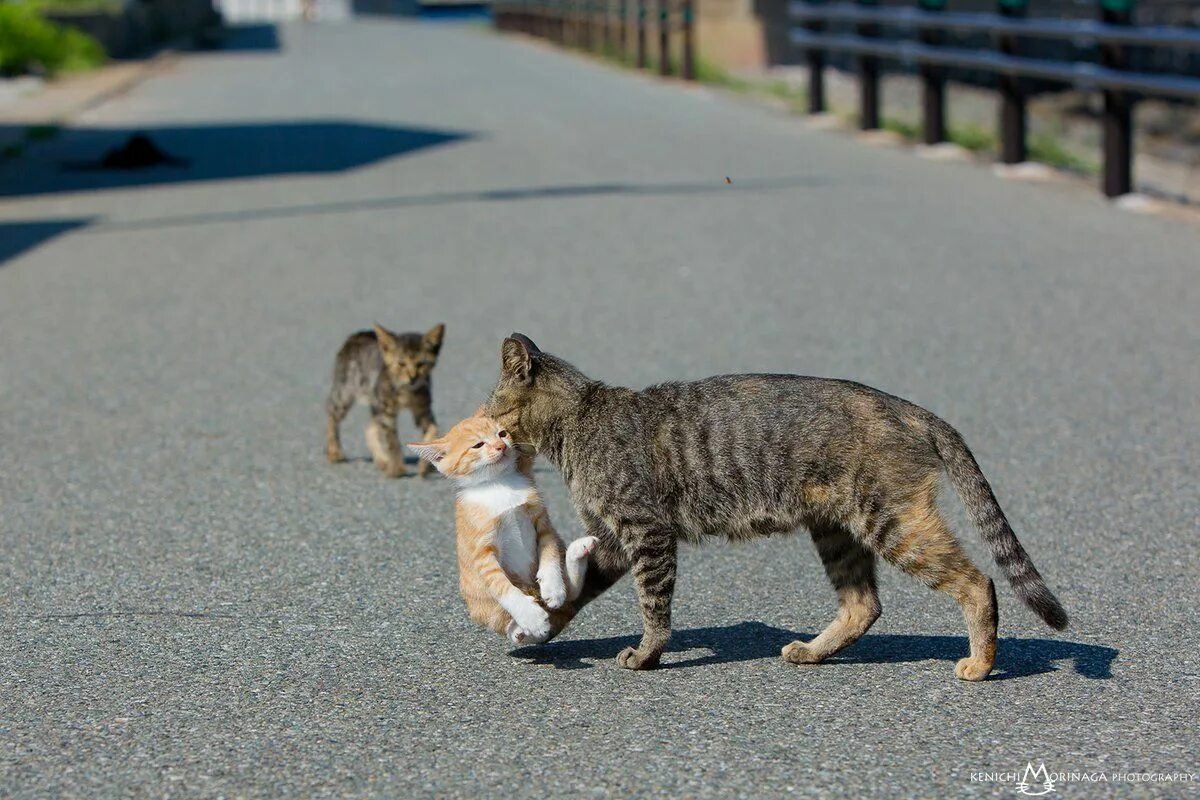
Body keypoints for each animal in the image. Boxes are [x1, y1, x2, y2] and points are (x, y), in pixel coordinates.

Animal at [326, 323, 444, 479]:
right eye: (401, 363)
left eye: (421, 364)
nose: (413, 378)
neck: (406, 391)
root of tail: (359, 334)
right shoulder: (387, 413)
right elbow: (392, 441)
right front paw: (396, 469)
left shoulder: (424, 411)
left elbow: (433, 430)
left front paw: (425, 466)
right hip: (344, 392)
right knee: (331, 415)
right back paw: (334, 451)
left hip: (376, 403)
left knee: (369, 428)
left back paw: (382, 460)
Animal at [408, 417, 595, 647]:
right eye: (478, 445)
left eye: (502, 433)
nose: (501, 446)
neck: (499, 485)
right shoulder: (482, 552)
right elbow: (502, 587)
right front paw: (531, 618)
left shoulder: (543, 524)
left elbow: (550, 555)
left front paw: (552, 586)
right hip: (483, 608)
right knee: (510, 625)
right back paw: (520, 630)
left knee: (572, 590)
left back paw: (578, 551)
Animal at [487, 333, 1070, 681]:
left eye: (492, 409)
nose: (486, 430)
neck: (580, 422)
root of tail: (913, 409)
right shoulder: (613, 540)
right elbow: (569, 594)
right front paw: (537, 624)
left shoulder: (646, 532)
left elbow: (654, 607)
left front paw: (647, 655)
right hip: (838, 530)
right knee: (863, 604)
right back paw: (812, 651)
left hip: (894, 522)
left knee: (978, 582)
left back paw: (980, 662)